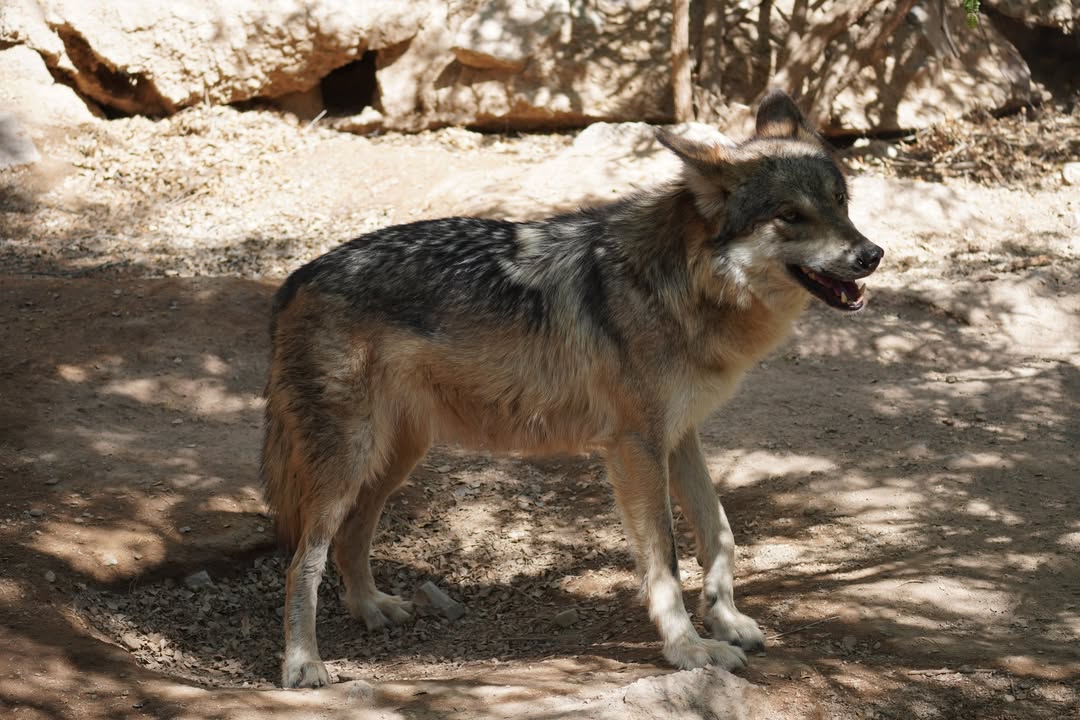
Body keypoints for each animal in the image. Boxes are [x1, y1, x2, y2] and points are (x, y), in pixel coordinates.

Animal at [262, 89, 883, 688]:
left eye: (841, 202)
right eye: (790, 215)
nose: (871, 254)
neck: (679, 284)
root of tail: (299, 277)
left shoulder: (680, 436)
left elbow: (719, 531)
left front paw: (727, 621)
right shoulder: (636, 448)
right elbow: (665, 560)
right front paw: (688, 650)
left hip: (396, 456)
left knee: (351, 535)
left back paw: (371, 608)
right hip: (351, 462)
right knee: (303, 562)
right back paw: (303, 665)